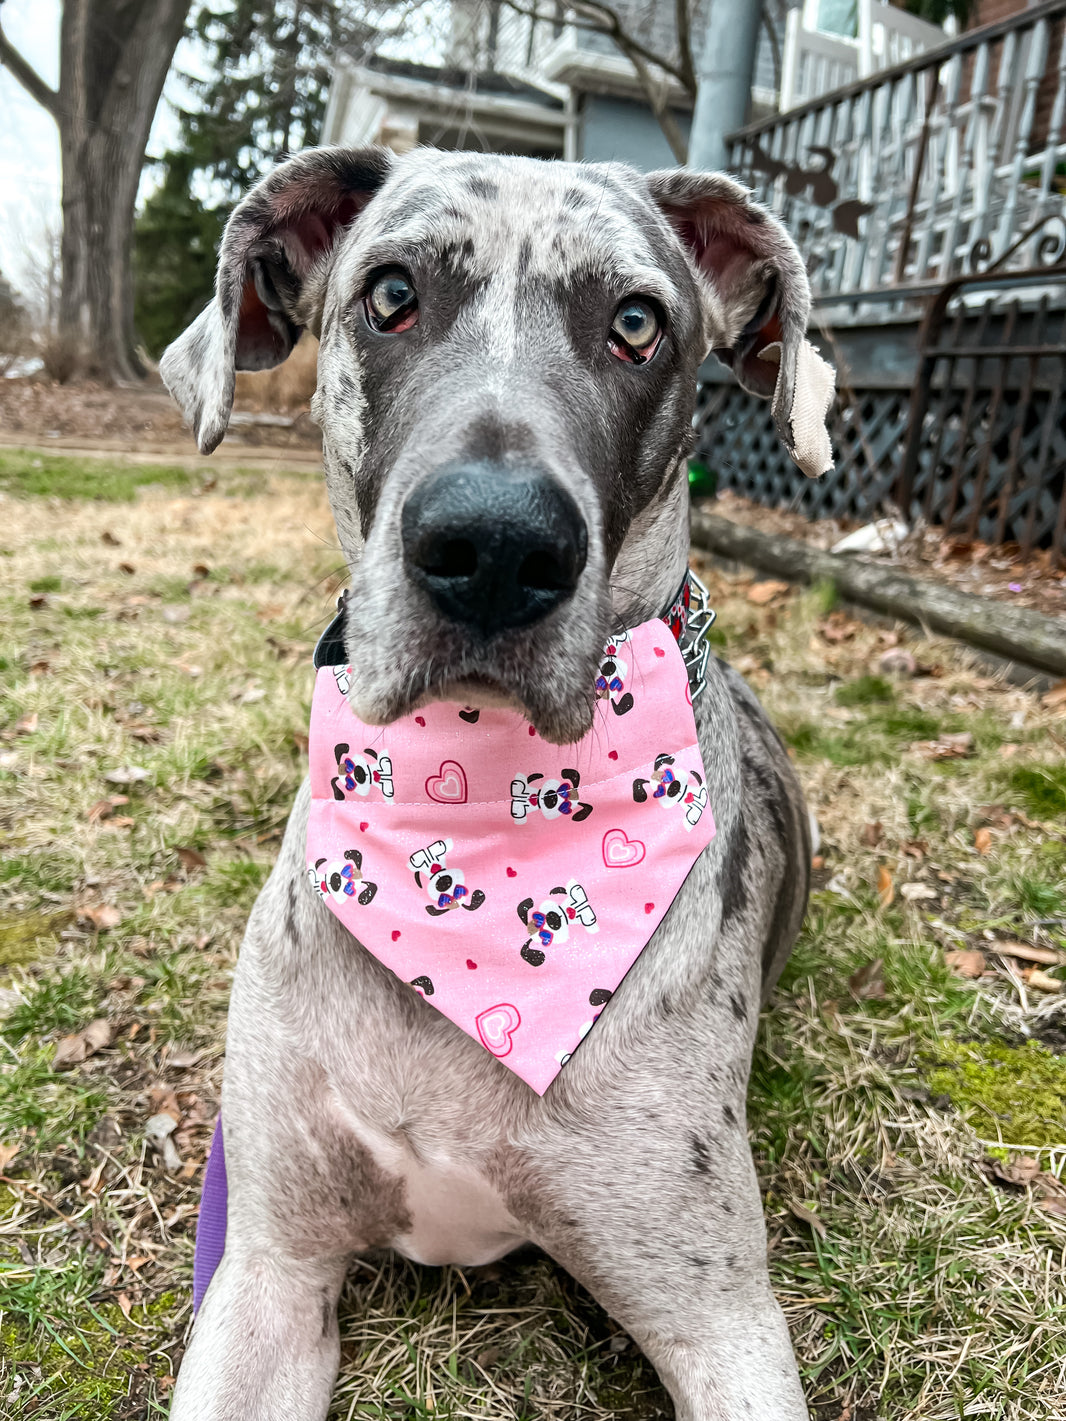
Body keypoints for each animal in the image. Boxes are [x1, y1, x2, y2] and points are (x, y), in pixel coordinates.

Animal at [160, 147, 835, 1421]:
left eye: (636, 323)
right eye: (389, 293)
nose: (495, 545)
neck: (475, 804)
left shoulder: (721, 1321)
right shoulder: (268, 1265)